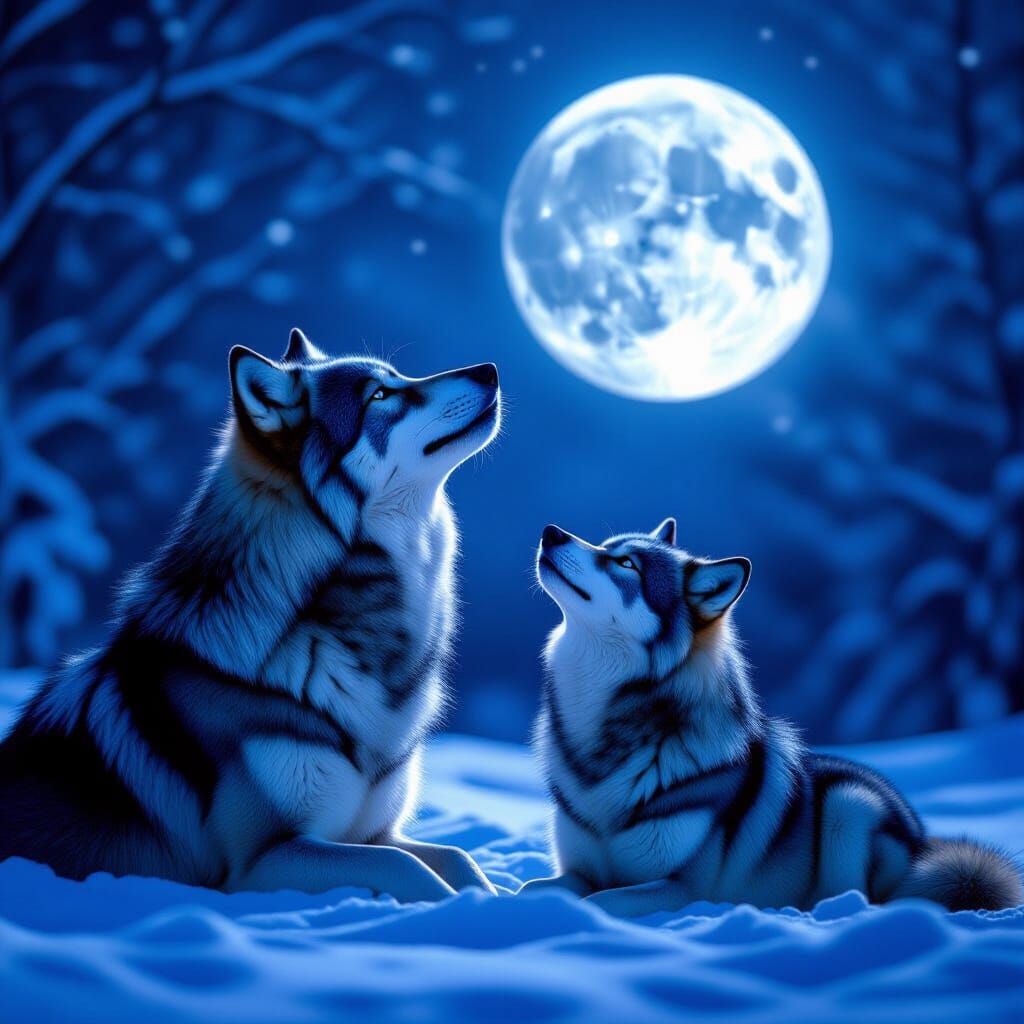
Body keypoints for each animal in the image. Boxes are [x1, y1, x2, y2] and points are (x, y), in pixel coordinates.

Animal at [0, 329, 501, 901]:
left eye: (398, 376)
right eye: (378, 395)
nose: (489, 370)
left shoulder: (378, 832)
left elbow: (460, 857)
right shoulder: (261, 862)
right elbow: (409, 869)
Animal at [523, 518, 1022, 916]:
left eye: (626, 565)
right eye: (605, 545)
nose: (550, 532)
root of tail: (924, 838)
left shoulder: (683, 889)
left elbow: (599, 901)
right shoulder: (580, 870)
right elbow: (536, 888)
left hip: (849, 804)